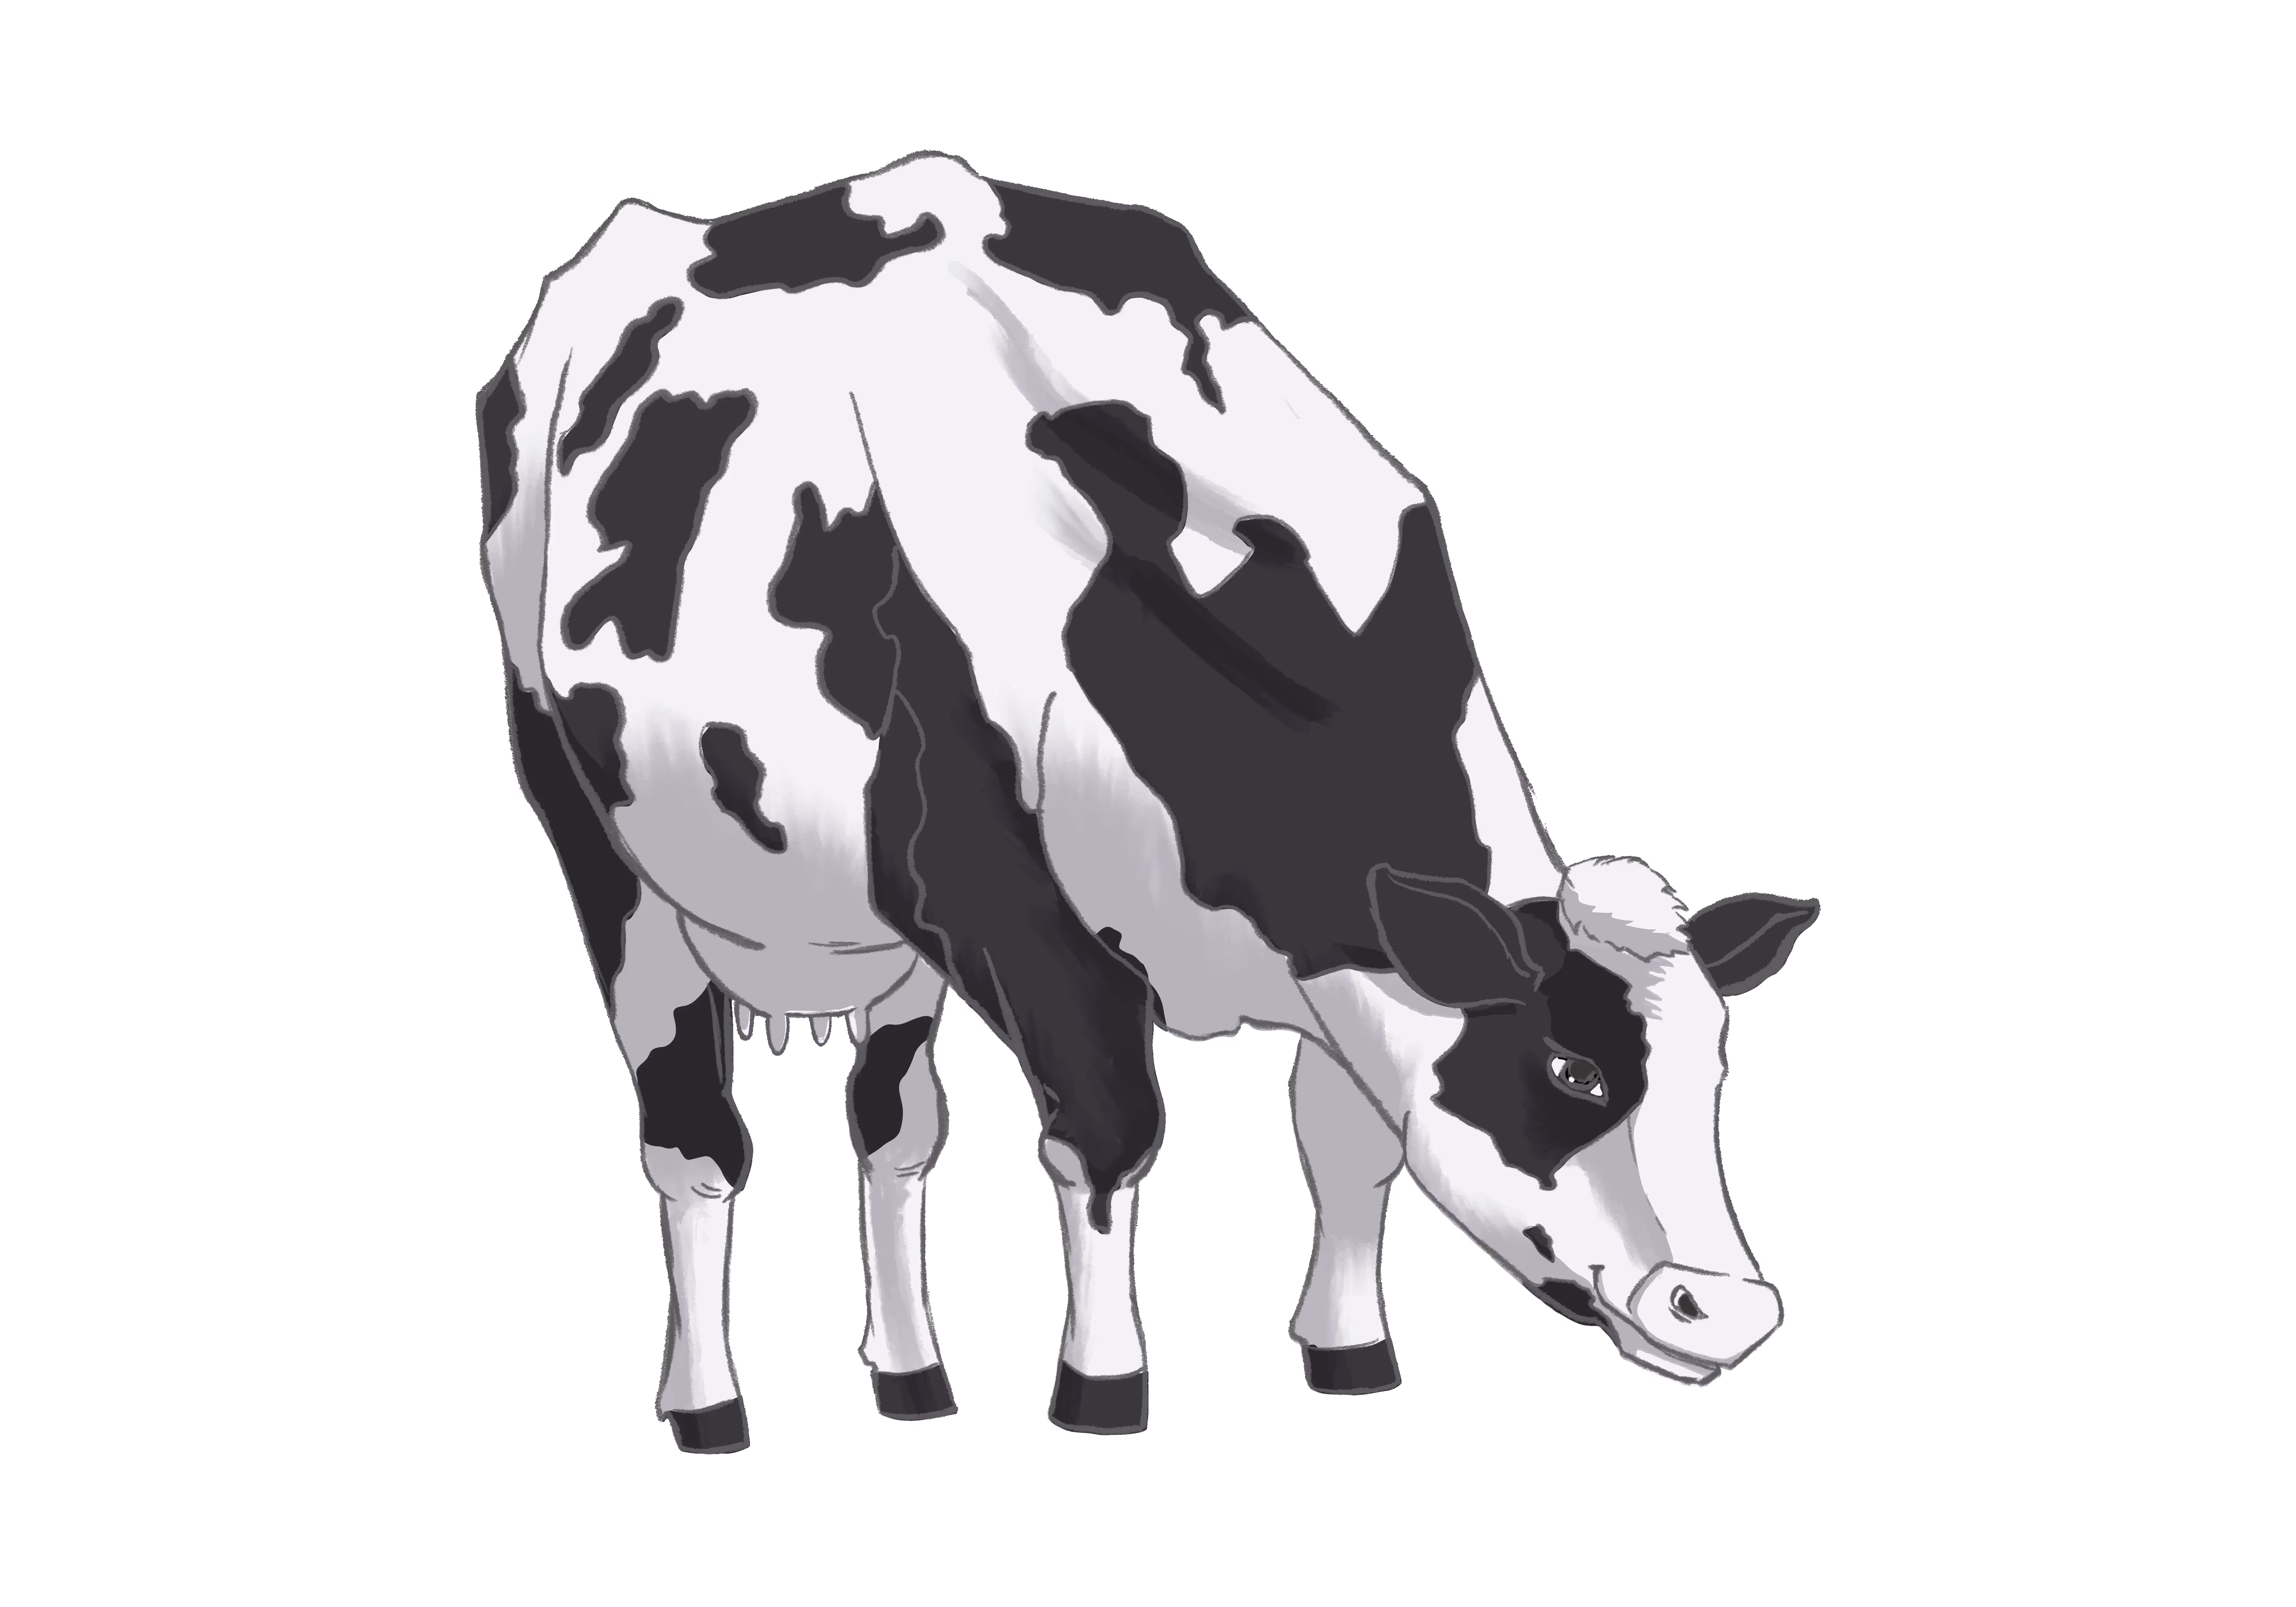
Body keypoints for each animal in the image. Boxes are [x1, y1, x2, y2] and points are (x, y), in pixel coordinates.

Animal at [478, 152, 1819, 1452]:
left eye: (1718, 1072)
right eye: (1570, 1071)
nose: (1727, 1309)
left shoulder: (1333, 950)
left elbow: (1350, 1141)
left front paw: (1350, 1352)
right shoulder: (1011, 920)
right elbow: (1108, 1139)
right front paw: (1102, 1386)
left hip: (880, 935)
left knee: (892, 1125)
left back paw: (912, 1379)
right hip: (606, 860)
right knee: (694, 1149)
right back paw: (709, 1406)